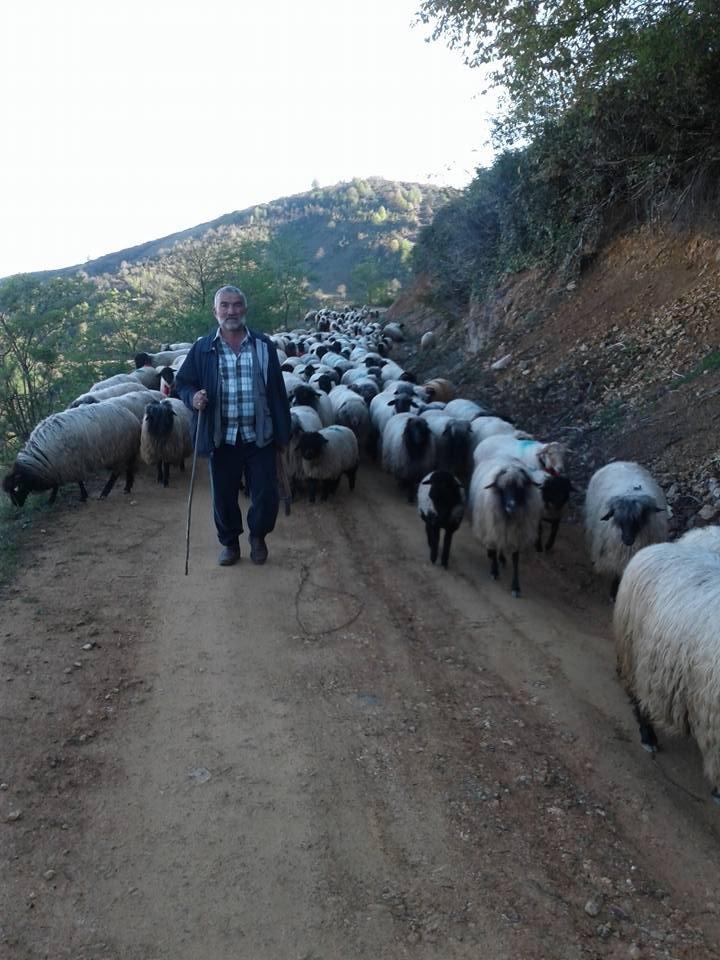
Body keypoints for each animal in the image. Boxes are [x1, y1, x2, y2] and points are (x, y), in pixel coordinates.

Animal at [2, 404, 141, 506]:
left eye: (16, 487)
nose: (16, 505)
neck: (41, 457)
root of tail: (131, 416)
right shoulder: (57, 467)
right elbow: (56, 484)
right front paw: (51, 500)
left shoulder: (72, 464)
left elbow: (78, 481)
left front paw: (82, 496)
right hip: (126, 451)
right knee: (129, 468)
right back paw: (127, 487)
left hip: (120, 451)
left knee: (116, 473)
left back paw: (105, 493)